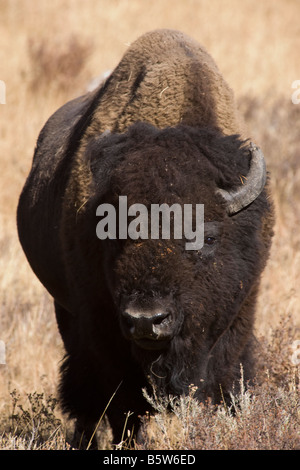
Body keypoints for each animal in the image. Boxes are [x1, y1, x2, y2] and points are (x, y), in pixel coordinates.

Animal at [17, 30, 274, 448]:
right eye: (112, 235)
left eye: (208, 237)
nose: (146, 320)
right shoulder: (101, 329)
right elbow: (123, 403)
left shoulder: (239, 318)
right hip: (66, 312)